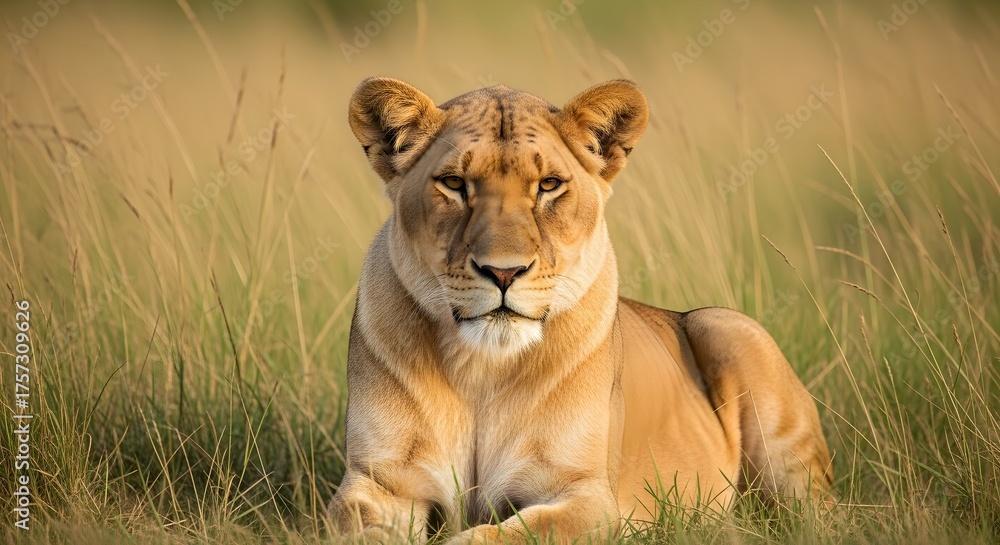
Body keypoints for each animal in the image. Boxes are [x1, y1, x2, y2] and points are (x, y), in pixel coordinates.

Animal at [327, 77, 833, 544]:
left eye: (549, 186)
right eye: (454, 184)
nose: (504, 271)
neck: (482, 369)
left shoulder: (589, 496)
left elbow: (505, 535)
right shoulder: (380, 482)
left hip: (731, 333)